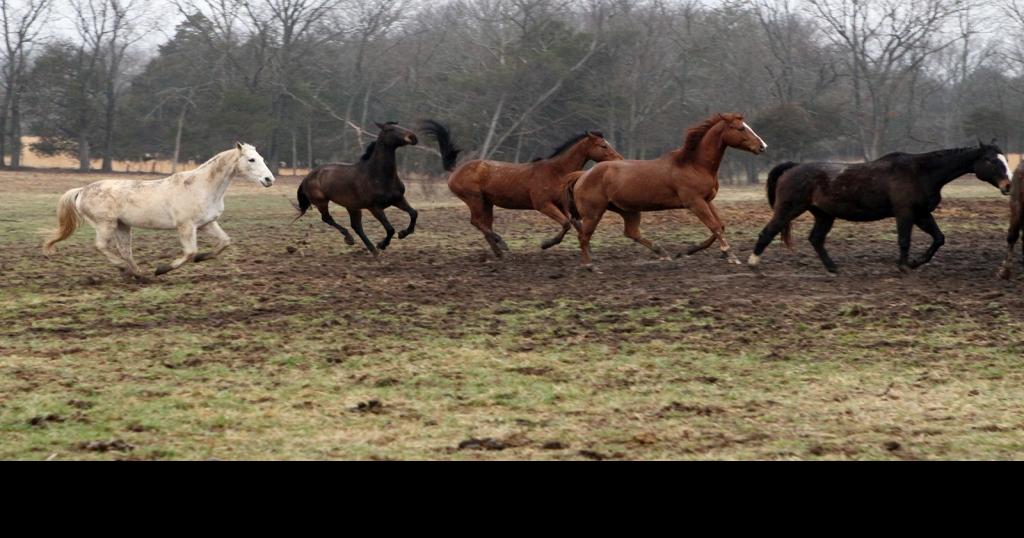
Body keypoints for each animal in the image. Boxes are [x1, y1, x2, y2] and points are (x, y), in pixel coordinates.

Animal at [43, 142, 275, 280]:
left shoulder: (207, 224)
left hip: (122, 226)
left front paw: (203, 257)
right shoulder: (186, 226)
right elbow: (189, 252)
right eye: (251, 159)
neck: (201, 187)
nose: (269, 179)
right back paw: (125, 269)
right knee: (101, 246)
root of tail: (81, 191)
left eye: (262, 158)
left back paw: (138, 274)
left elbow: (225, 242)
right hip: (105, 225)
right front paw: (161, 269)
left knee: (125, 251)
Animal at [295, 122, 419, 257]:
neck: (377, 175)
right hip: (321, 202)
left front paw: (403, 233)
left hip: (352, 207)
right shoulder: (375, 208)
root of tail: (307, 176)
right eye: (390, 129)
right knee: (328, 219)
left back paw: (373, 250)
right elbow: (390, 229)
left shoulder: (398, 199)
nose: (413, 137)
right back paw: (350, 239)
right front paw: (382, 244)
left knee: (356, 226)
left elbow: (414, 213)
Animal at [419, 120, 623, 258]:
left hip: (487, 203)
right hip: (474, 199)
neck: (557, 172)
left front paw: (589, 251)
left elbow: (576, 224)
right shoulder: (543, 205)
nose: (619, 160)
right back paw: (502, 244)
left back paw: (498, 252)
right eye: (603, 145)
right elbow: (566, 224)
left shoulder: (561, 204)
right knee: (477, 222)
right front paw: (546, 244)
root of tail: (456, 170)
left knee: (485, 224)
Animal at [565, 113, 767, 268]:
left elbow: (720, 226)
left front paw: (688, 250)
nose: (762, 146)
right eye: (740, 128)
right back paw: (589, 265)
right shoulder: (695, 202)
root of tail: (582, 175)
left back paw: (663, 253)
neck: (695, 165)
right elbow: (715, 226)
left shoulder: (707, 200)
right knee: (584, 236)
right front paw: (730, 255)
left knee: (631, 232)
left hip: (627, 210)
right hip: (593, 213)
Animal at [749, 142, 1013, 275]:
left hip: (824, 215)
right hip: (789, 209)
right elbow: (904, 240)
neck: (920, 172)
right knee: (768, 232)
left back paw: (833, 268)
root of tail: (793, 167)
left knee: (816, 239)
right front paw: (904, 265)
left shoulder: (921, 214)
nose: (1008, 185)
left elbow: (939, 238)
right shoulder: (905, 213)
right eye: (991, 160)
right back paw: (753, 265)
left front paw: (916, 262)